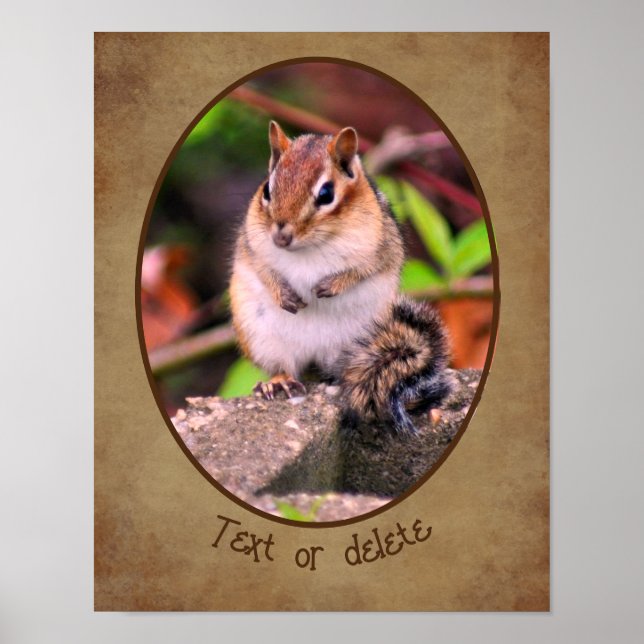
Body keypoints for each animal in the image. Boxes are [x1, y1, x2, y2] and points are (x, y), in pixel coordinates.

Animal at [229, 121, 452, 435]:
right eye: (267, 190)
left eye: (326, 194)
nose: (281, 237)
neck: (309, 248)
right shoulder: (251, 245)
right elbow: (263, 269)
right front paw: (283, 294)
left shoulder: (382, 247)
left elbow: (364, 268)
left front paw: (332, 285)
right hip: (262, 337)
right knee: (284, 366)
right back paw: (279, 382)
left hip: (362, 339)